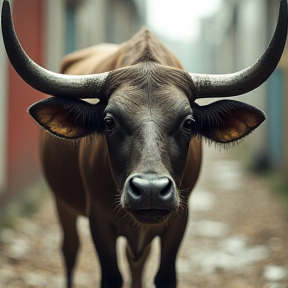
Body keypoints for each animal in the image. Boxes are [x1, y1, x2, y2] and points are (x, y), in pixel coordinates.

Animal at [2, 0, 288, 288]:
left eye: (189, 123)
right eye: (108, 121)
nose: (151, 190)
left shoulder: (178, 219)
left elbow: (163, 275)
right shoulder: (98, 219)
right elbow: (111, 276)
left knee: (136, 262)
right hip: (62, 204)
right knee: (70, 250)